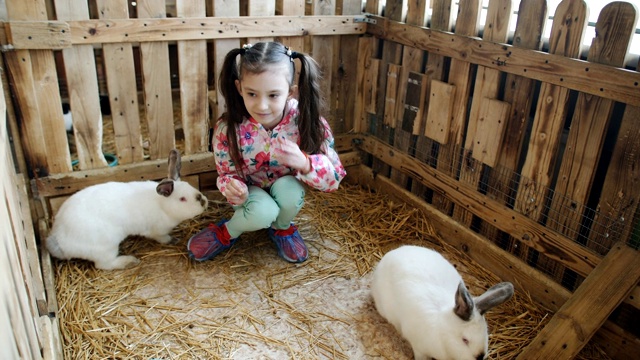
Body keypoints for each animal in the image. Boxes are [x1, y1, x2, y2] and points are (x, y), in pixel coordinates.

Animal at [45, 149, 210, 270]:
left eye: (191, 186)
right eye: (182, 199)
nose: (203, 201)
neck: (162, 205)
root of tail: (59, 241)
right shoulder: (157, 231)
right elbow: (163, 238)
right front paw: (173, 240)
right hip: (107, 247)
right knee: (104, 265)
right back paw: (129, 261)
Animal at [370, 245, 516, 360]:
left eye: (486, 332)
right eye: (465, 340)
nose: (480, 357)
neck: (443, 333)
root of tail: (391, 253)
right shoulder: (419, 349)